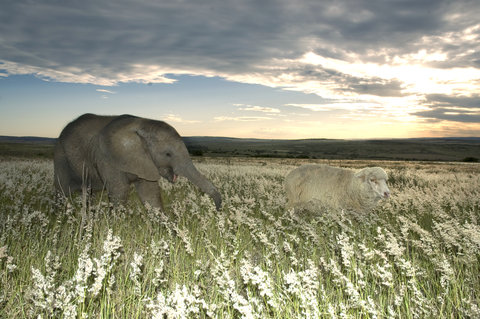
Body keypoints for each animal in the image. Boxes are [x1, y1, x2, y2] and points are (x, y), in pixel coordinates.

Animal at [53, 114, 222, 211]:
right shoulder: (107, 157)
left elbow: (150, 195)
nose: (218, 209)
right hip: (61, 156)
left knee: (87, 193)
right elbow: (119, 192)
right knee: (62, 191)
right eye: (167, 154)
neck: (142, 124)